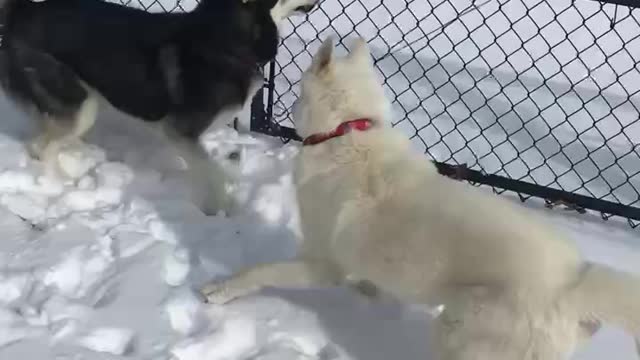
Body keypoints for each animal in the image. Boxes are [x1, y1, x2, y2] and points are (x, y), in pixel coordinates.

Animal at [202, 37, 640, 360]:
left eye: (298, 92)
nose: (264, 88)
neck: (349, 131)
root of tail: (574, 279)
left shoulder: (322, 264)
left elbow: (261, 272)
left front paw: (221, 289)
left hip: (459, 336)